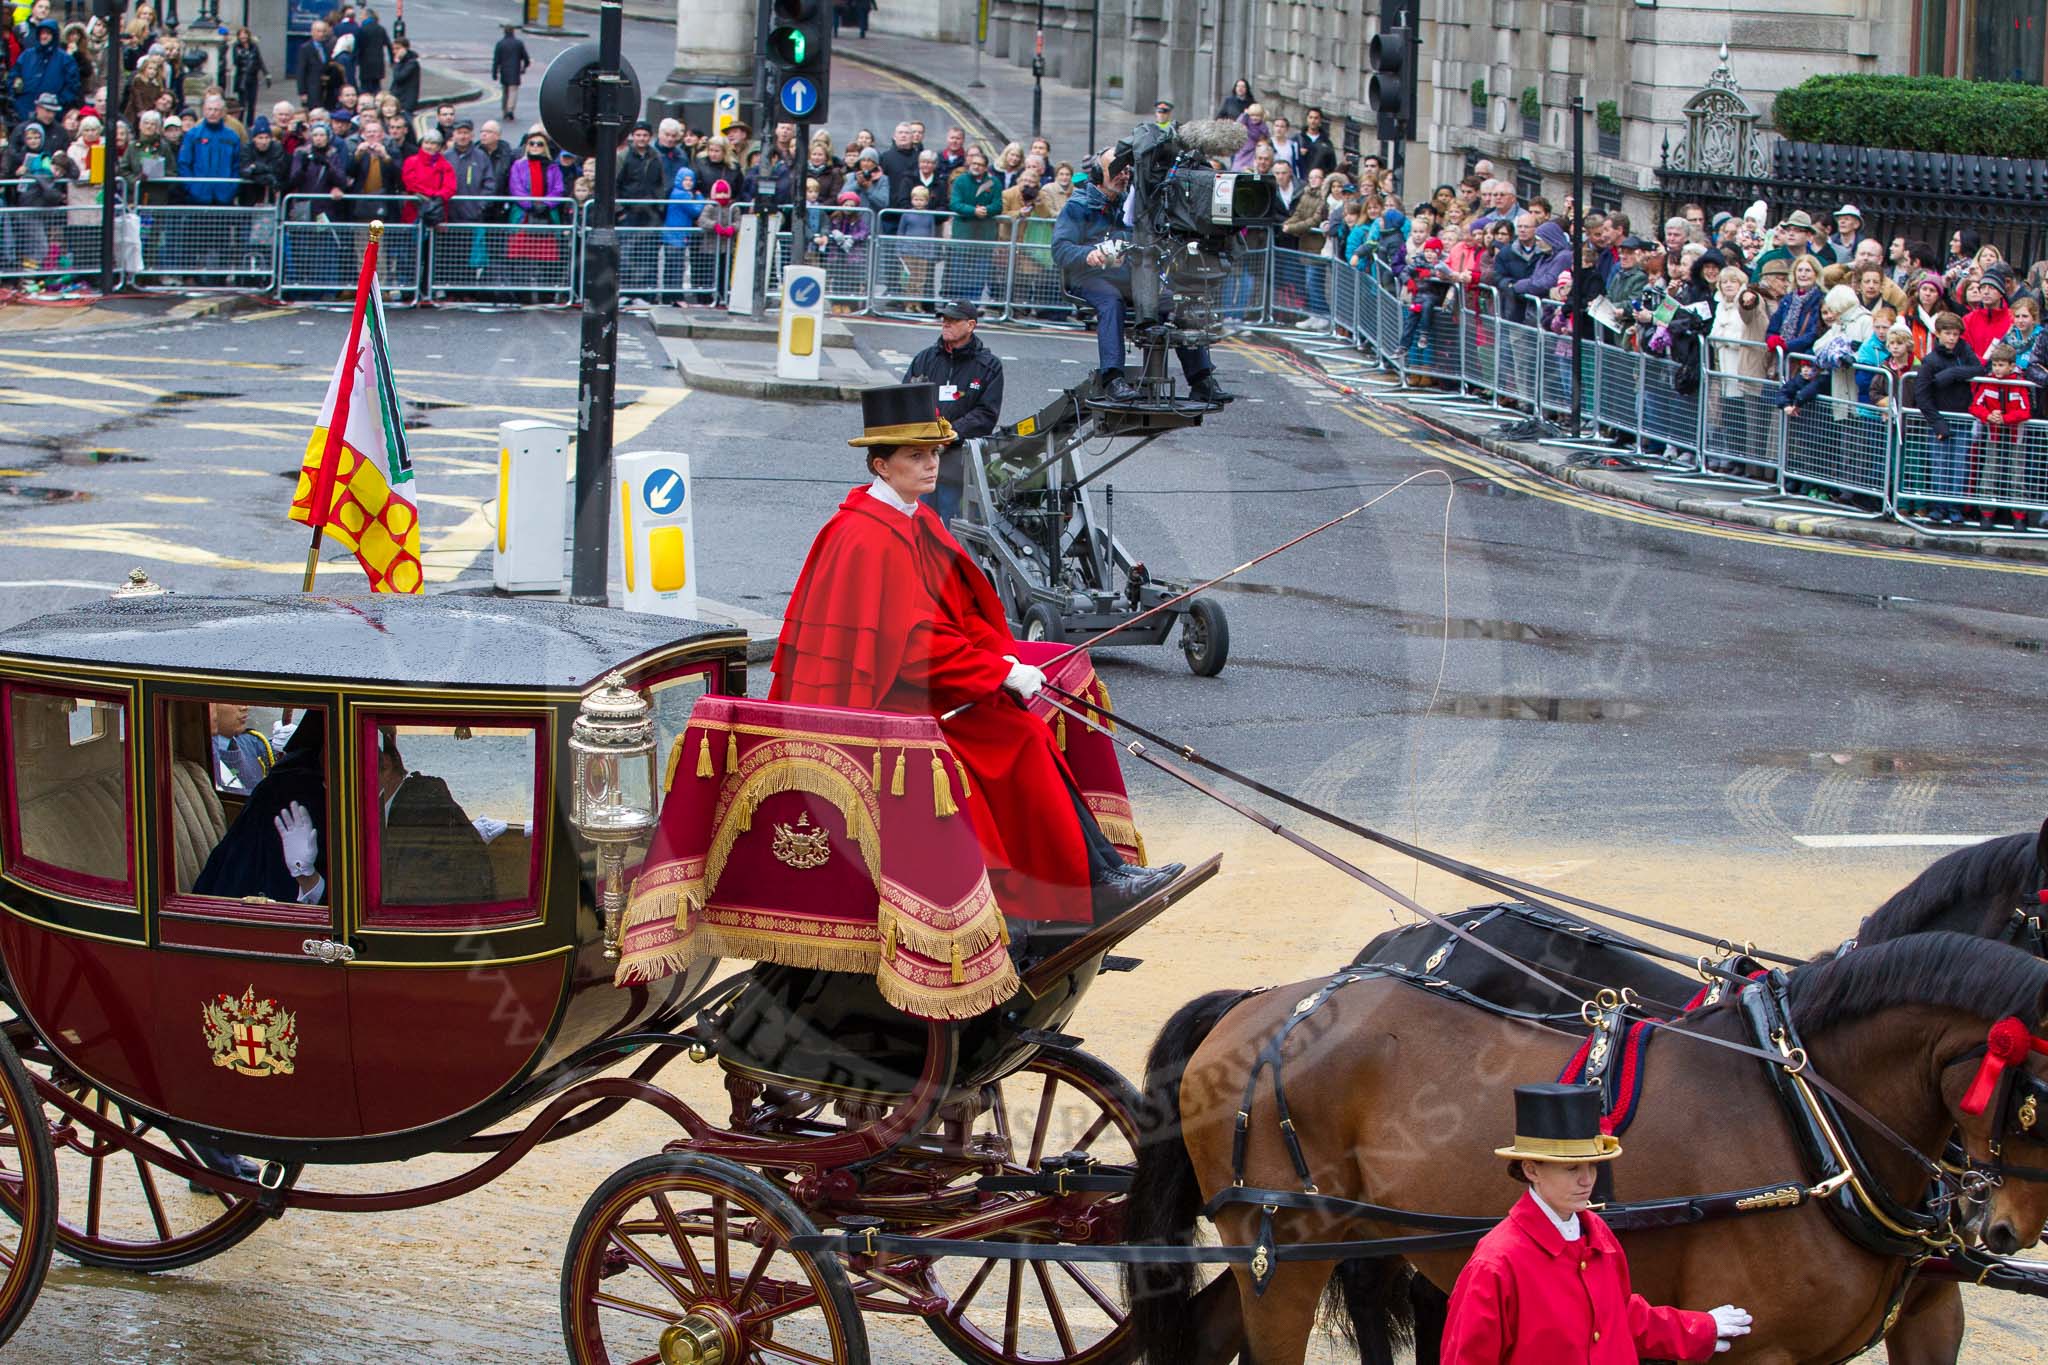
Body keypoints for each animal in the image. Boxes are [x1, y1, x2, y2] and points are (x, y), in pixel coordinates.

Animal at [1130, 933, 2048, 1358]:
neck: (1807, 1112)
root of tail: (1262, 1003)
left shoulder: (1924, 1321)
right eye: (2035, 1100)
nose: (2009, 1226)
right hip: (1281, 1252)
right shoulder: (1760, 1348)